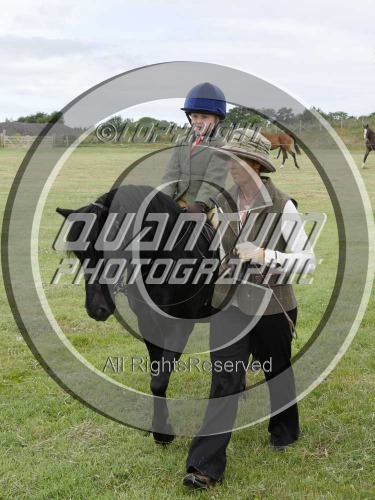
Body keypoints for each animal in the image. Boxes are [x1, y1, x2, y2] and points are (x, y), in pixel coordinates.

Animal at [57, 186, 219, 444]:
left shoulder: (180, 327)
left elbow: (160, 379)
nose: (96, 308)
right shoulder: (148, 325)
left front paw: (163, 432)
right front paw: (160, 428)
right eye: (80, 255)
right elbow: (155, 378)